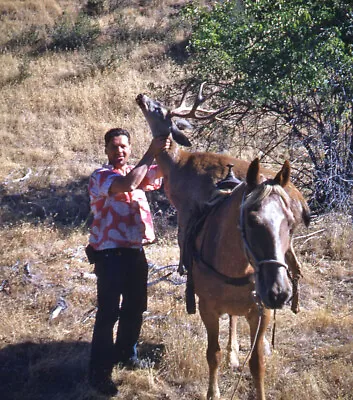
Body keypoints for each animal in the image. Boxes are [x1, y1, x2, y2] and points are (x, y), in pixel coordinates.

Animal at [191, 158, 310, 398]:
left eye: (291, 223)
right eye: (252, 220)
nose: (279, 292)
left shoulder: (261, 312)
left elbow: (257, 363)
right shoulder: (207, 309)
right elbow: (213, 354)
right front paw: (213, 393)